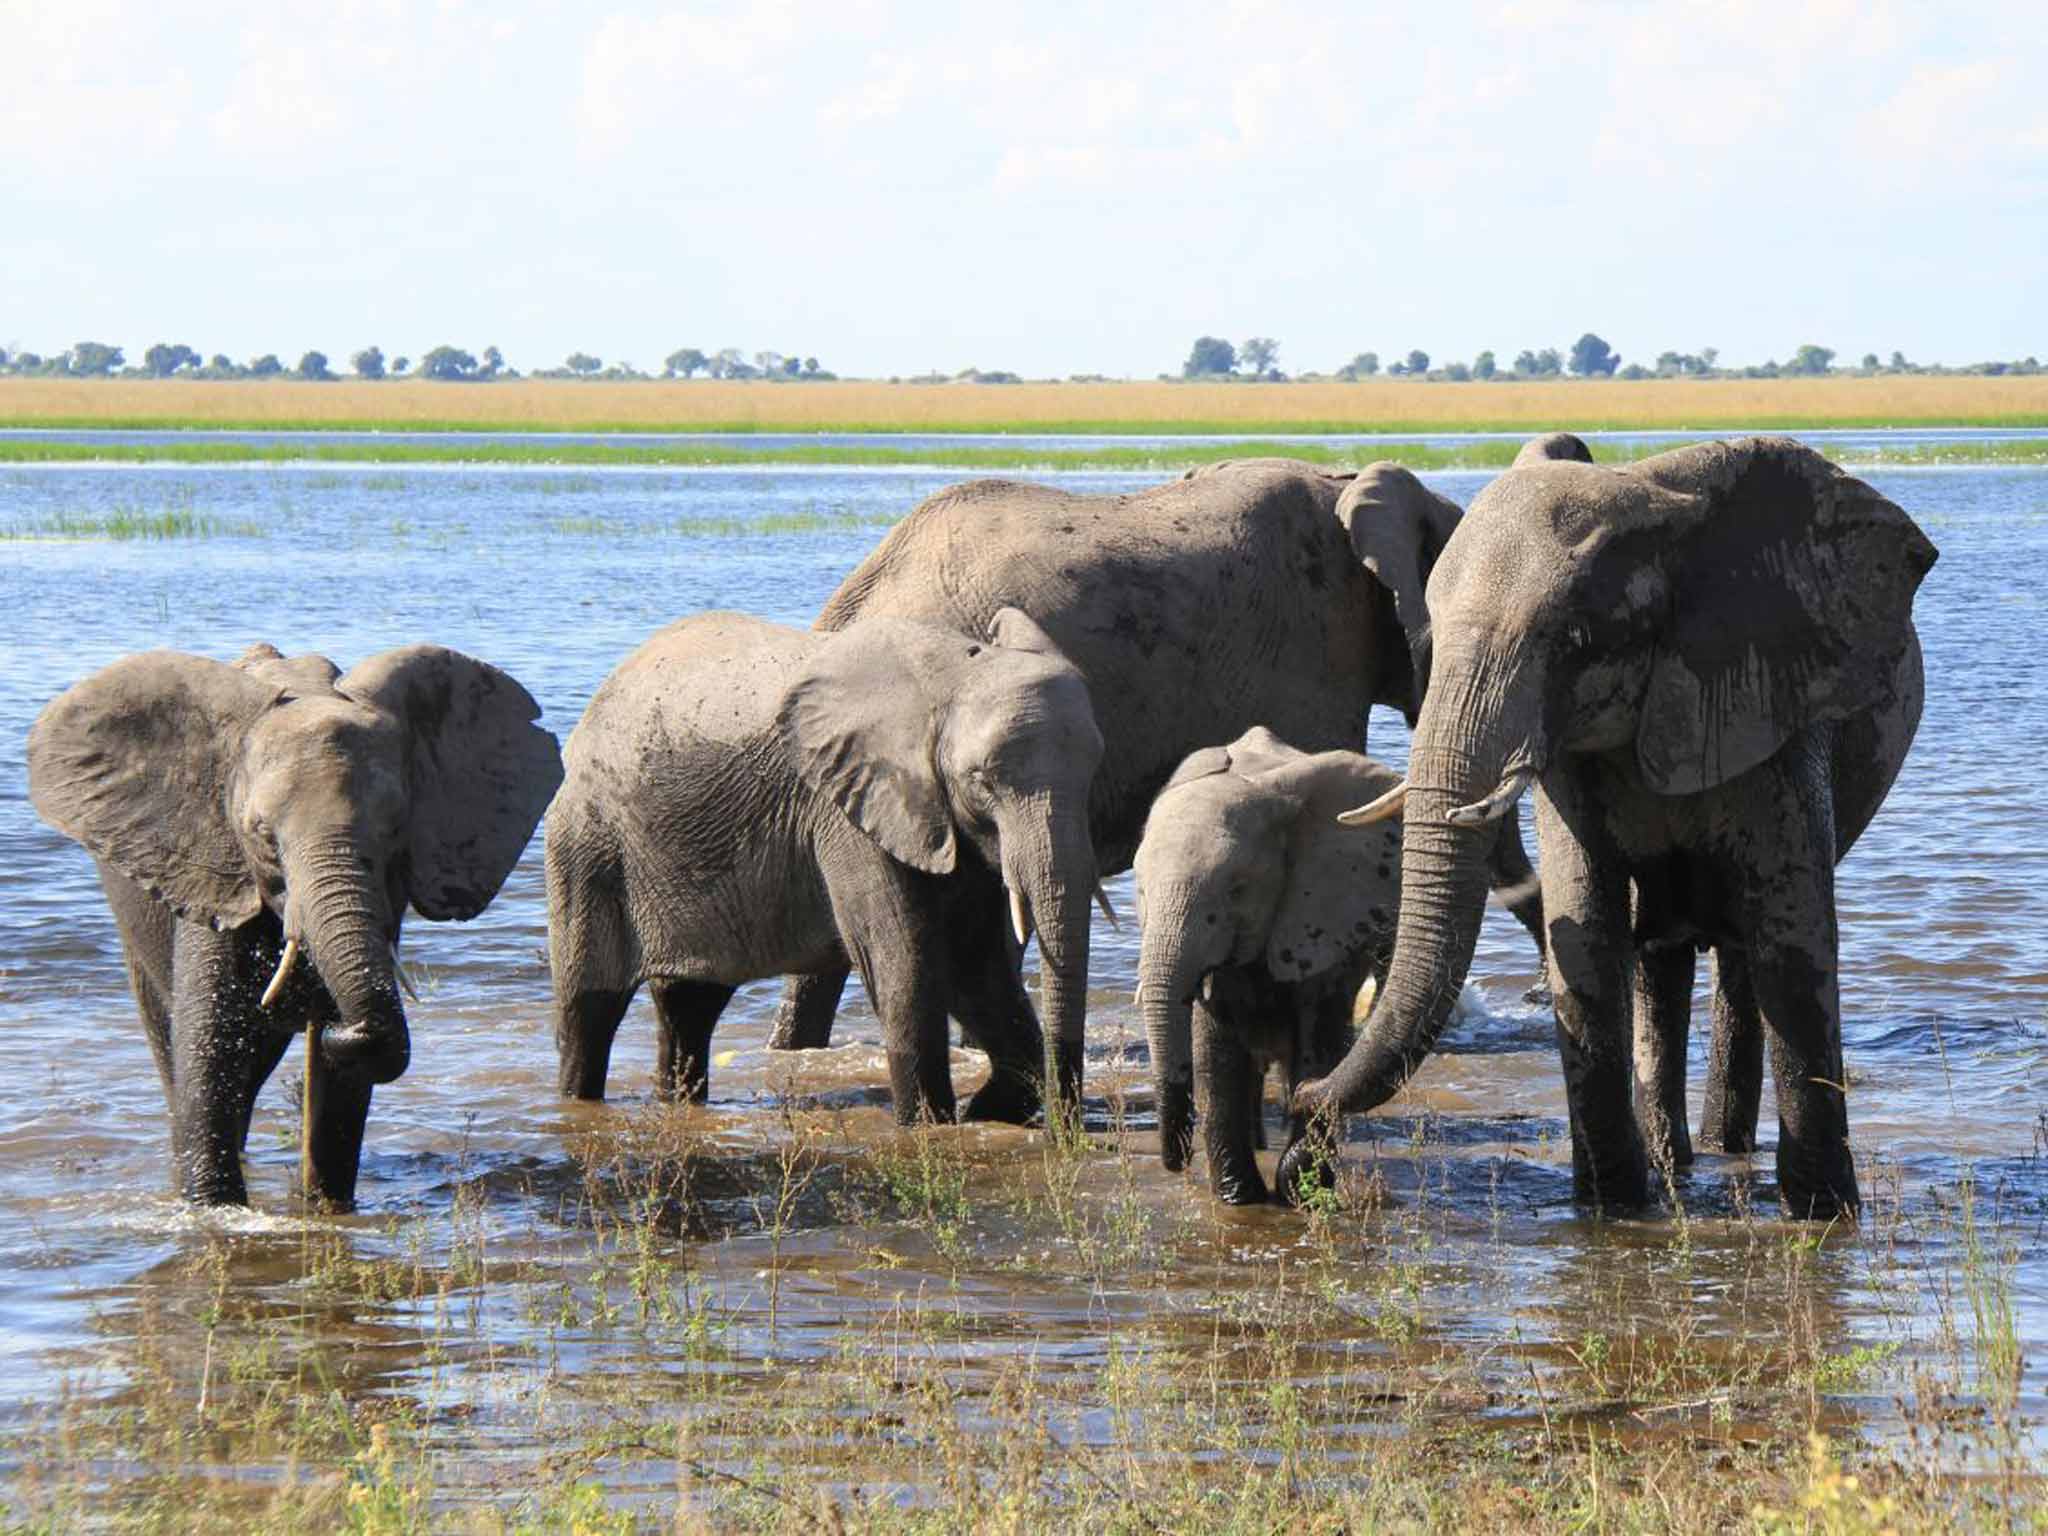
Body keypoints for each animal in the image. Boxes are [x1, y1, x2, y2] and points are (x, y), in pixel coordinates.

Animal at [25, 643, 569, 1212]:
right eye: (263, 834)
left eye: (396, 828)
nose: (340, 1027)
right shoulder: (217, 870)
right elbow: (208, 1052)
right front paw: (213, 1213)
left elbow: (341, 1089)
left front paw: (327, 1210)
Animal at [536, 606, 1097, 1122]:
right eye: (981, 780)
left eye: (1098, 765)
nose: (1063, 1130)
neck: (953, 674)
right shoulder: (846, 809)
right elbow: (905, 957)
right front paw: (931, 1126)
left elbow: (973, 962)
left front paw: (988, 1112)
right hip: (587, 847)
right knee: (590, 1013)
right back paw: (577, 1101)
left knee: (689, 1006)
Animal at [1138, 729, 1409, 1212]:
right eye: (1140, 892)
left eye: (1238, 890)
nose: (1177, 1161)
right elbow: (1215, 1049)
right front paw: (1238, 1197)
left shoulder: (1319, 924)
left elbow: (1317, 1042)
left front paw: (1301, 1191)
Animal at [1294, 438, 1933, 1220]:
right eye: (1428, 638)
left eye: (1572, 638)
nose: (1303, 1102)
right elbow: (1589, 939)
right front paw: (1613, 1208)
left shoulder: (1775, 706)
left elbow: (1794, 944)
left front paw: (1822, 1215)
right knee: (1658, 959)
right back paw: (1675, 1162)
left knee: (1742, 953)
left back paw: (1726, 1153)